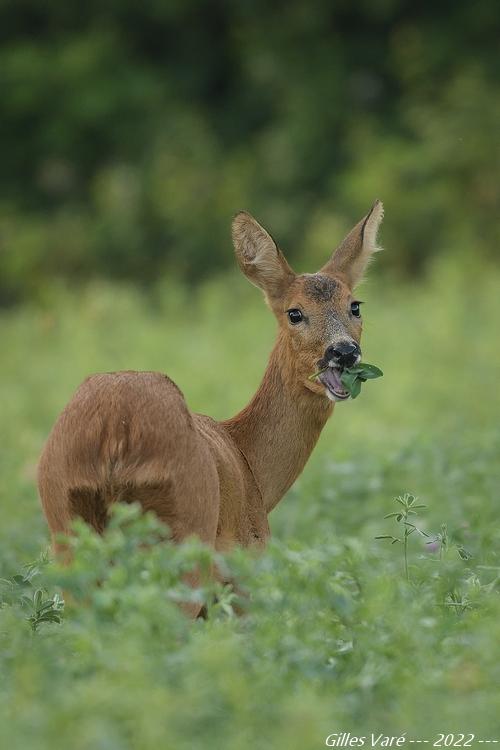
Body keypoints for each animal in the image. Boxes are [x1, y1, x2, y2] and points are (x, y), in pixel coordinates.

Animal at [38, 201, 382, 616]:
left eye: (355, 306)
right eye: (294, 313)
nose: (344, 351)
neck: (250, 463)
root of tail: (114, 436)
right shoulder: (246, 564)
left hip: (66, 527)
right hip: (187, 525)